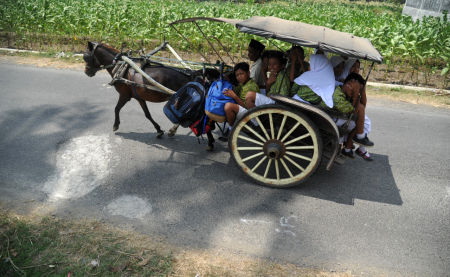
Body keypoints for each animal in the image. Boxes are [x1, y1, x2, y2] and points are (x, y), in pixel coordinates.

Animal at [83, 41, 220, 149]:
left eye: (85, 57)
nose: (86, 71)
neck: (122, 67)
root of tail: (192, 73)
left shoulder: (124, 95)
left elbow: (116, 108)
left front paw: (115, 125)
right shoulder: (139, 97)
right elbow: (147, 115)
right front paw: (158, 130)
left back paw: (209, 141)